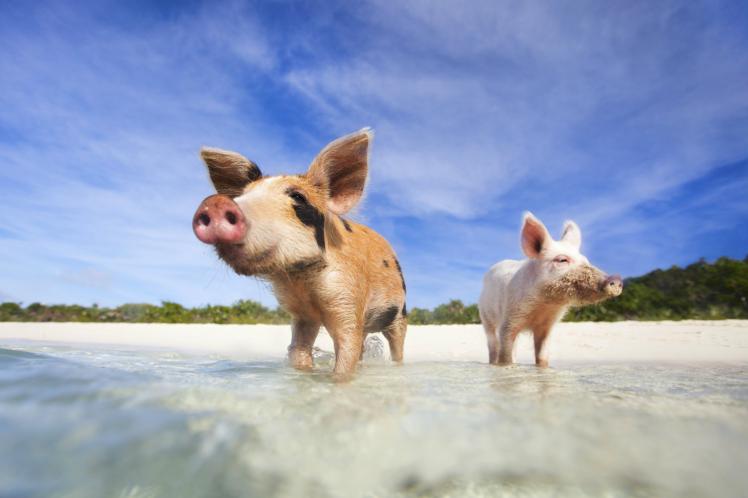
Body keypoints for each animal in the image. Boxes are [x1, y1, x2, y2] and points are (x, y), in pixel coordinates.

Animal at [192, 129, 407, 378]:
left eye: (298, 197)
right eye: (241, 195)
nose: (215, 203)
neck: (303, 281)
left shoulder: (348, 296)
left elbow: (346, 352)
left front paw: (338, 379)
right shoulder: (303, 315)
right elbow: (299, 350)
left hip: (400, 313)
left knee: (396, 345)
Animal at [478, 212, 622, 367]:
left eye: (586, 261)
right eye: (562, 260)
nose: (616, 279)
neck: (544, 305)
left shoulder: (547, 325)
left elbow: (542, 355)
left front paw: (542, 367)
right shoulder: (509, 319)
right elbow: (505, 354)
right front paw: (505, 366)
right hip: (485, 316)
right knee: (493, 344)